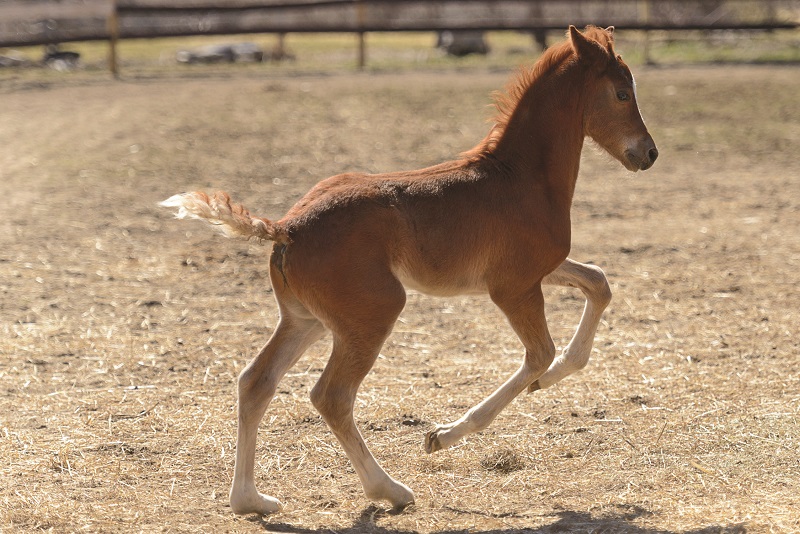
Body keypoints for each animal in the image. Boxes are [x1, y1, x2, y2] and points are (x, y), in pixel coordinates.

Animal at [161, 26, 656, 520]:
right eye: (621, 92)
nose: (649, 153)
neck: (521, 176)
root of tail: (287, 227)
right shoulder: (512, 287)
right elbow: (538, 353)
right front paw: (444, 434)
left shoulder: (539, 269)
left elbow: (598, 283)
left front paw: (549, 379)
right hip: (374, 312)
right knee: (331, 396)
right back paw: (390, 490)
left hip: (305, 319)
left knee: (255, 382)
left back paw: (250, 499)